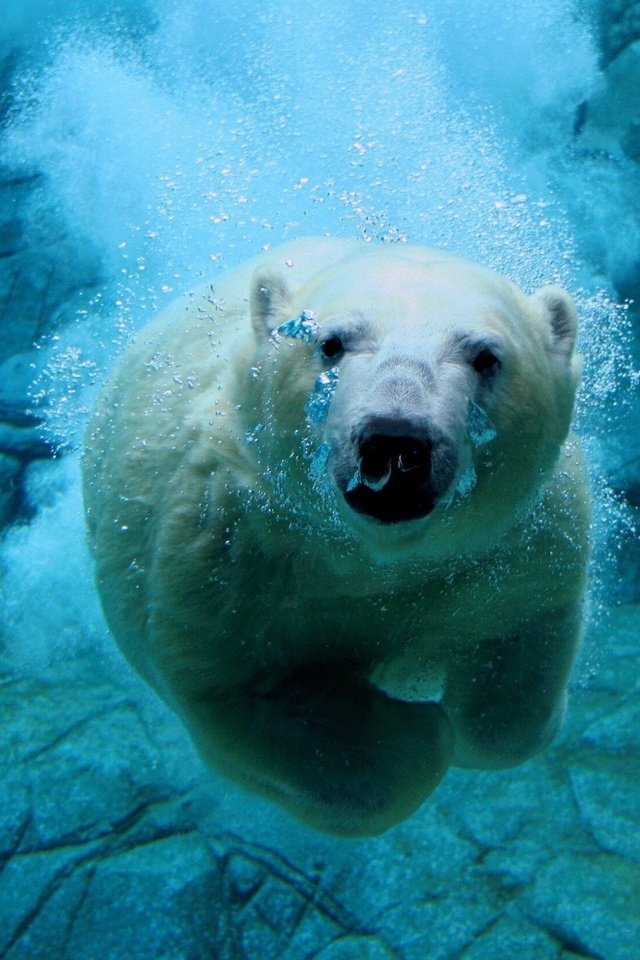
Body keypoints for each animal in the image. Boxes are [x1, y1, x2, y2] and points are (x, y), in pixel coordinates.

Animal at [84, 236, 592, 836]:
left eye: (486, 356)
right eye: (330, 343)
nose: (395, 441)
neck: (370, 557)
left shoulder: (515, 545)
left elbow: (517, 654)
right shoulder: (225, 552)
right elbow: (247, 694)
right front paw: (417, 731)